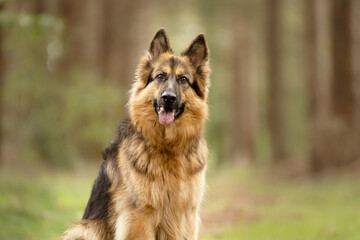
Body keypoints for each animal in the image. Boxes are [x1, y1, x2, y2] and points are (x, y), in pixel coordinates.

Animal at [60, 28, 210, 240]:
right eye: (160, 77)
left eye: (183, 80)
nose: (168, 98)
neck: (168, 147)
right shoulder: (140, 215)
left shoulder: (184, 215)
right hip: (85, 229)